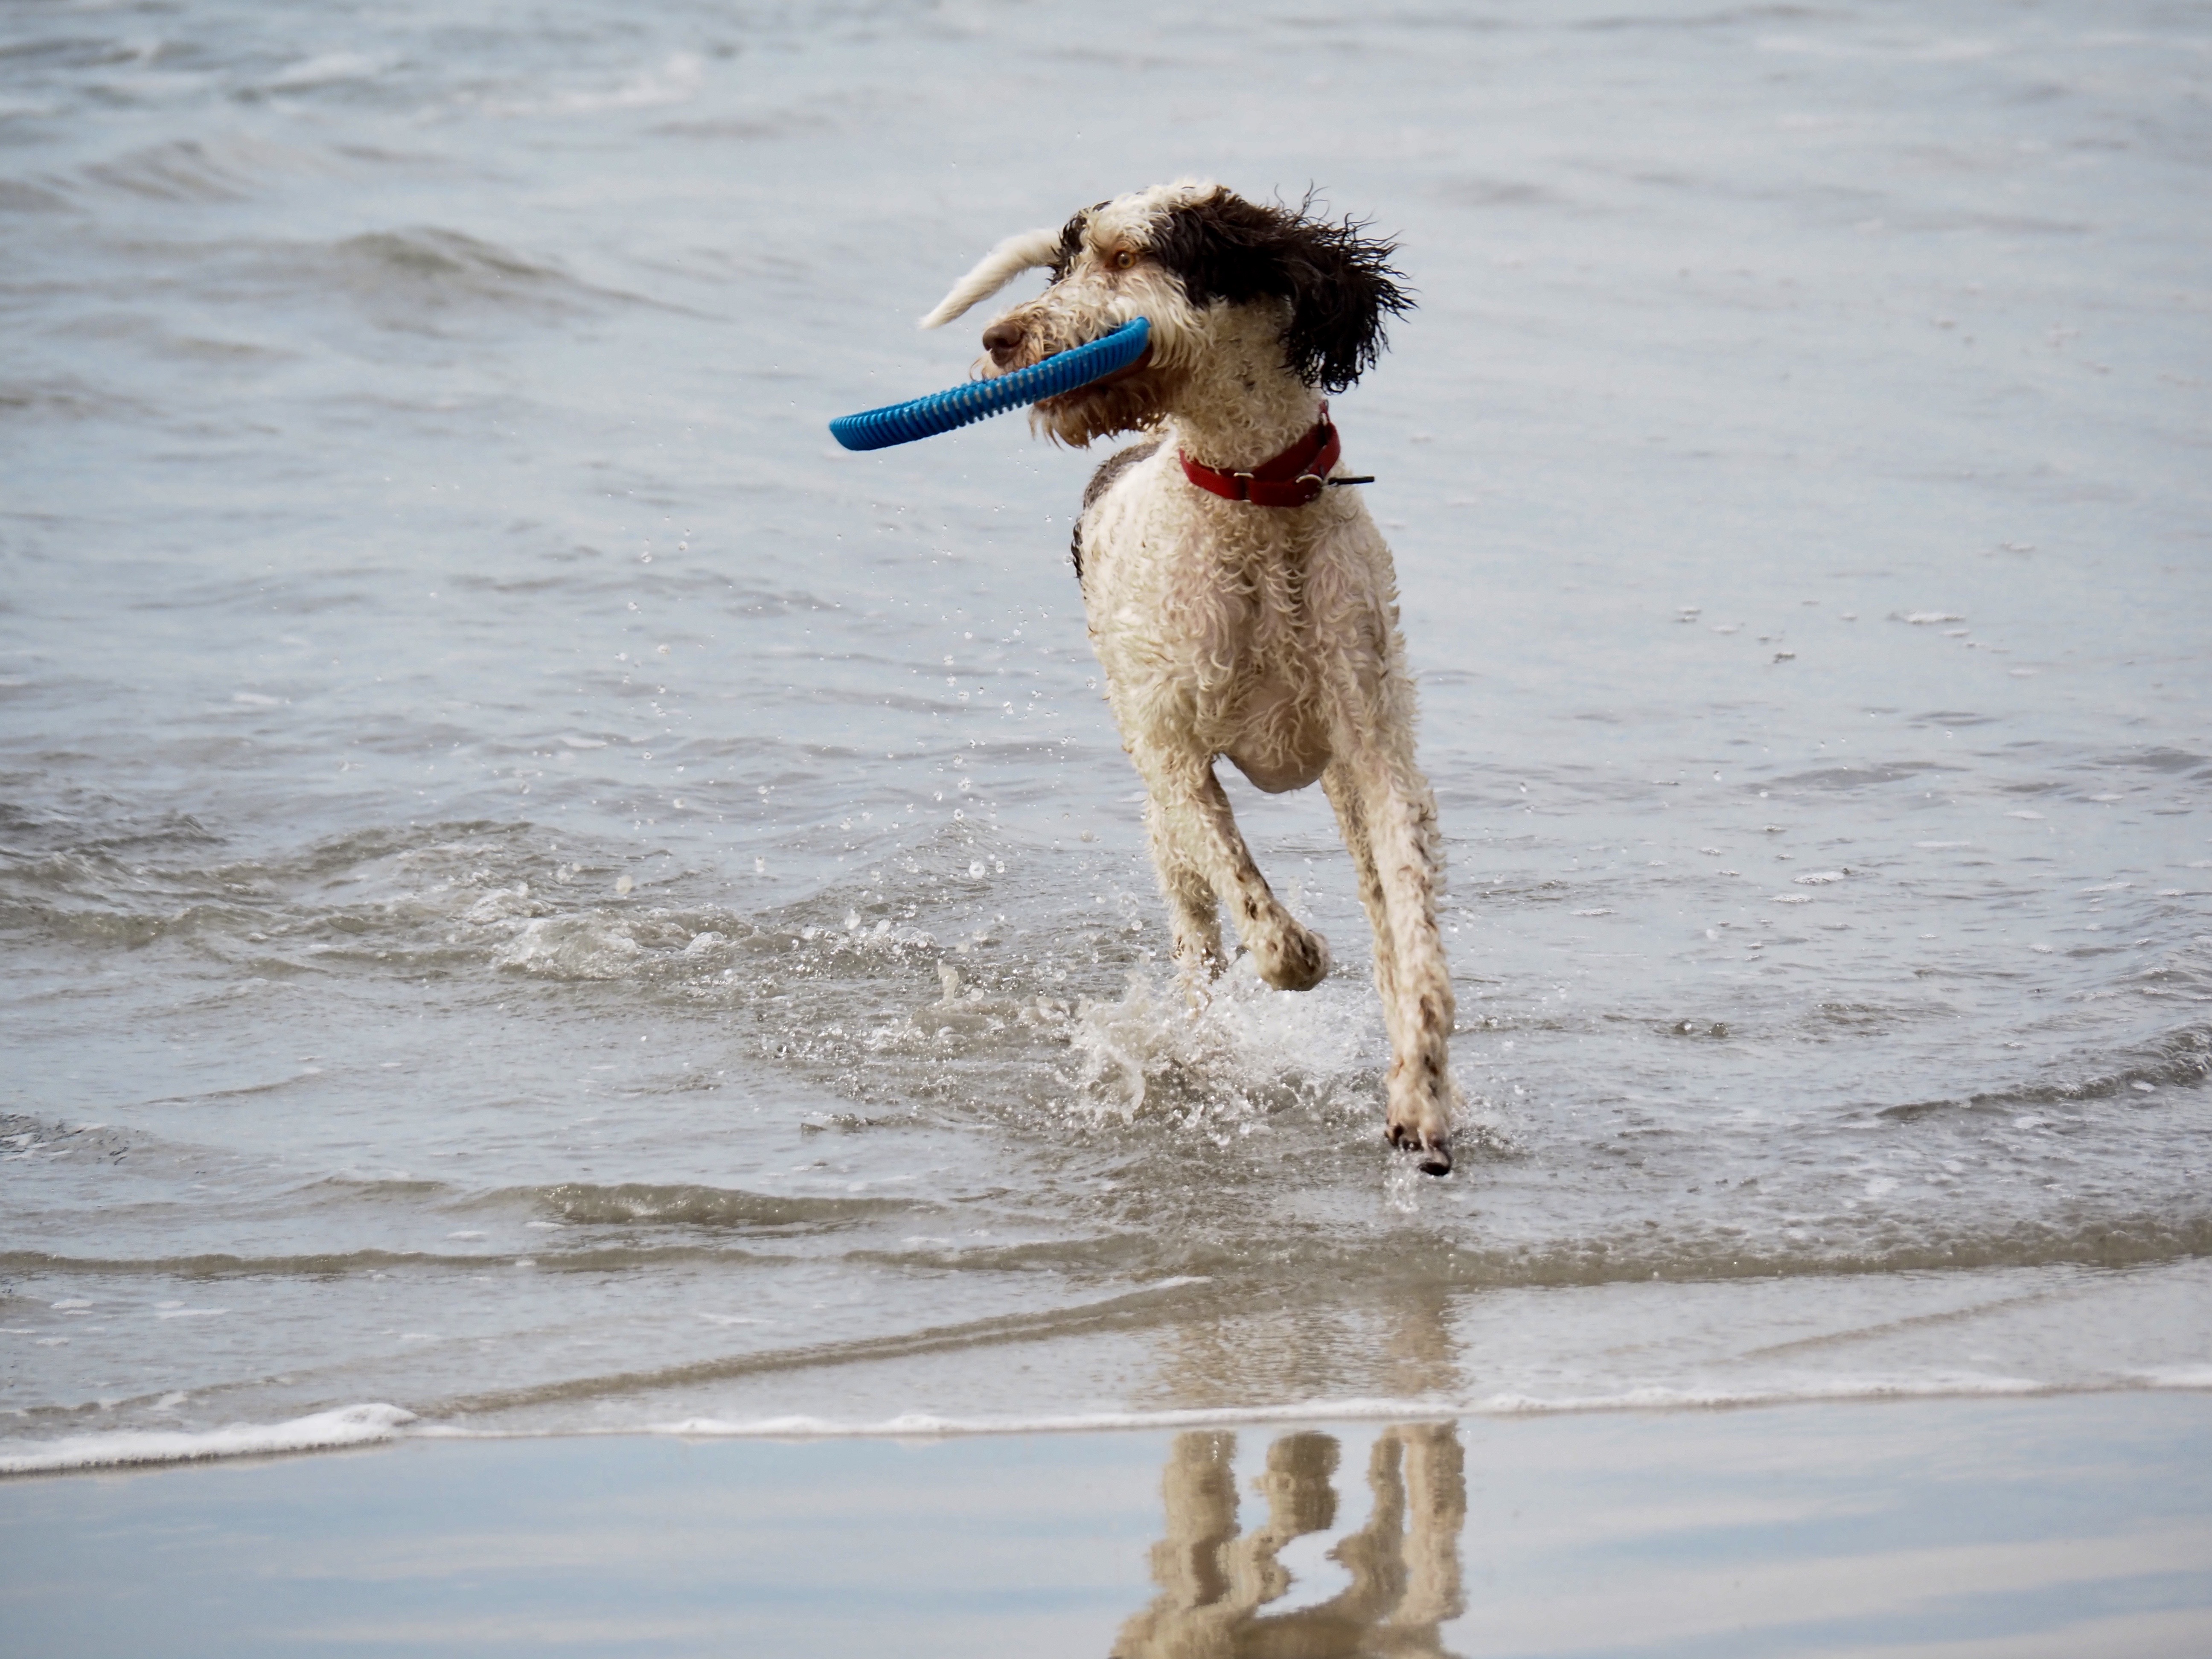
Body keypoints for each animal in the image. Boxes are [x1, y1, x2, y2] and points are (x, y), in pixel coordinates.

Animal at [921, 181, 1460, 1174]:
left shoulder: (1377, 750)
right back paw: (1200, 1055)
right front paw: (1298, 955)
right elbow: (1267, 924)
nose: (1000, 340)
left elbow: (1415, 947)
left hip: (1335, 786)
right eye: (1064, 266)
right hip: (1161, 824)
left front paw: (1424, 1101)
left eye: (1127, 258)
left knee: (1375, 914)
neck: (1252, 502)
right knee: (1199, 946)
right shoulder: (1173, 752)